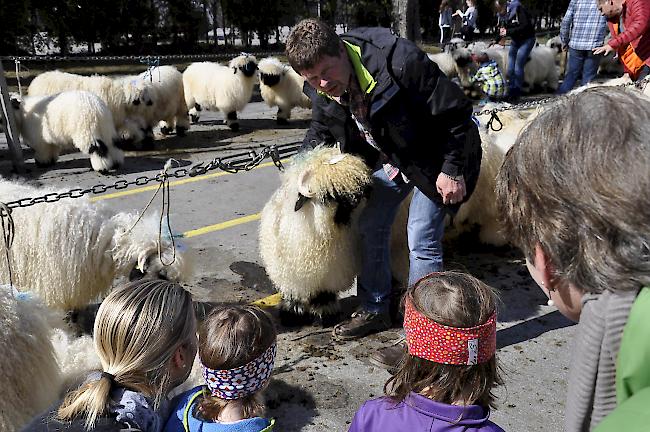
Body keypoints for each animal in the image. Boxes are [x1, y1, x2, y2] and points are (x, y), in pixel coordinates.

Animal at [256, 147, 370, 326]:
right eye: (329, 195)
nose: (359, 200)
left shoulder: (329, 275)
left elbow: (323, 296)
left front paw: (326, 315)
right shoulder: (291, 275)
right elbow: (293, 295)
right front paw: (292, 314)